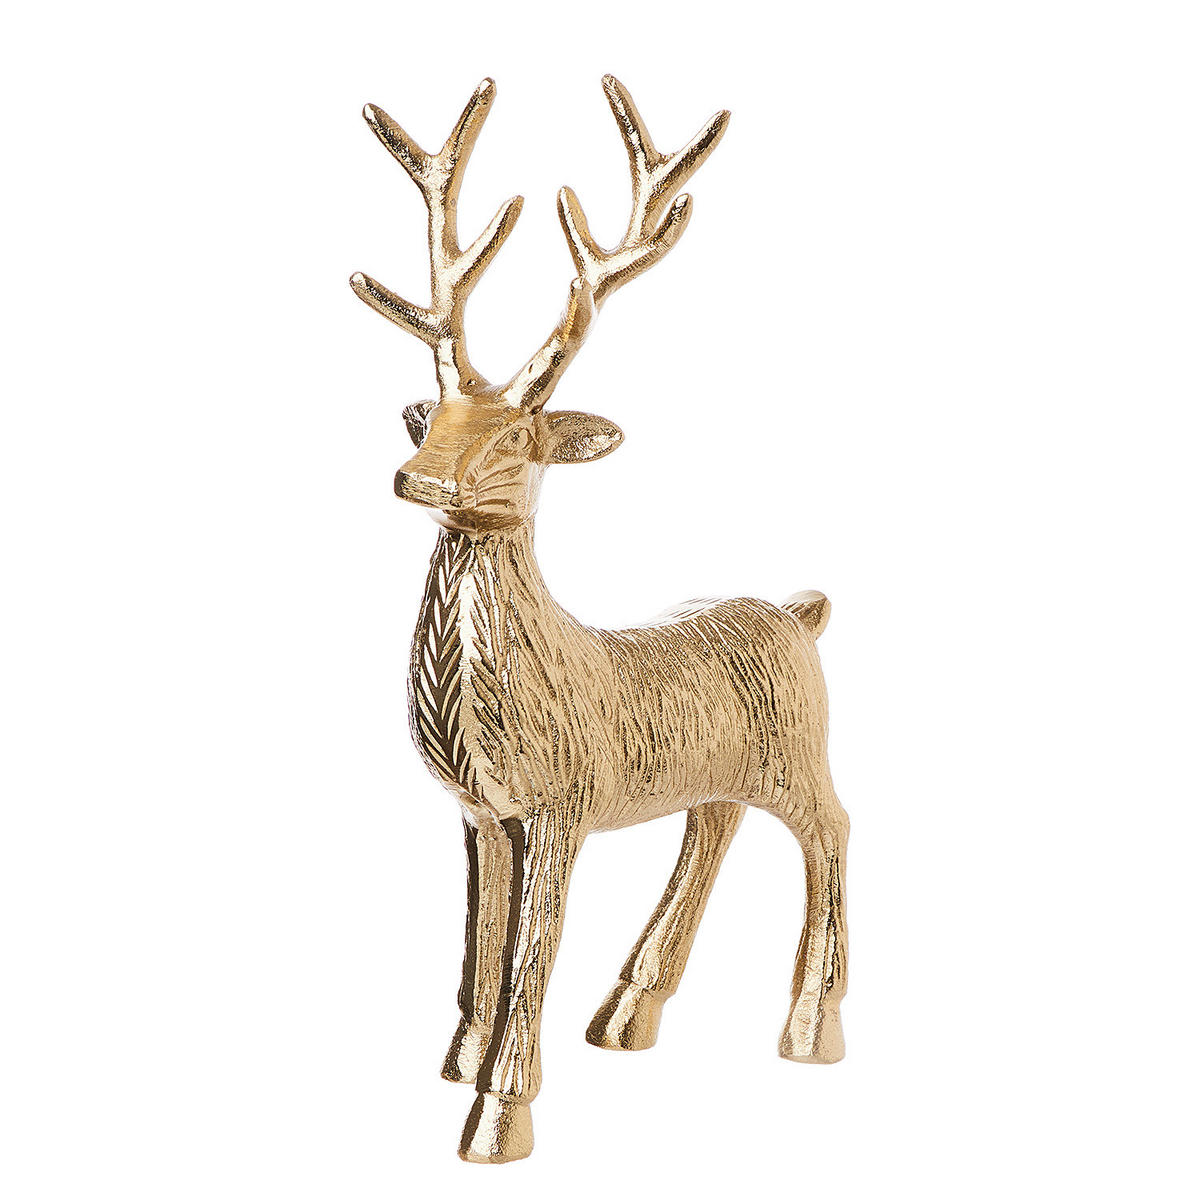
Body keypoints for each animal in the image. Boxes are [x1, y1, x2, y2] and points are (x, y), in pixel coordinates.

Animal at [350, 75, 849, 1163]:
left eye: (518, 438)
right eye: (436, 415)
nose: (420, 478)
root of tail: (802, 613)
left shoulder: (563, 800)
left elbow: (530, 952)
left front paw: (501, 1112)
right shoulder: (480, 812)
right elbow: (480, 943)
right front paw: (459, 1059)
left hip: (800, 748)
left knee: (832, 828)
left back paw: (811, 1029)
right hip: (723, 763)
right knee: (713, 822)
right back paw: (629, 1013)